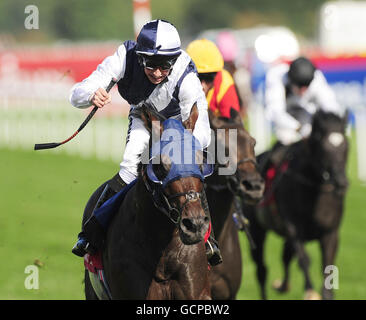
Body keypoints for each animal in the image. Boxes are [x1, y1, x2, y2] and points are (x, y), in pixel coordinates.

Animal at [244, 110, 348, 300]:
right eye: (324, 149)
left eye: (345, 147)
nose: (342, 183)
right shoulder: (293, 227)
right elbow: (304, 259)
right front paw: (310, 291)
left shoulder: (331, 232)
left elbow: (327, 266)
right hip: (256, 230)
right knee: (261, 269)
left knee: (285, 256)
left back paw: (283, 285)